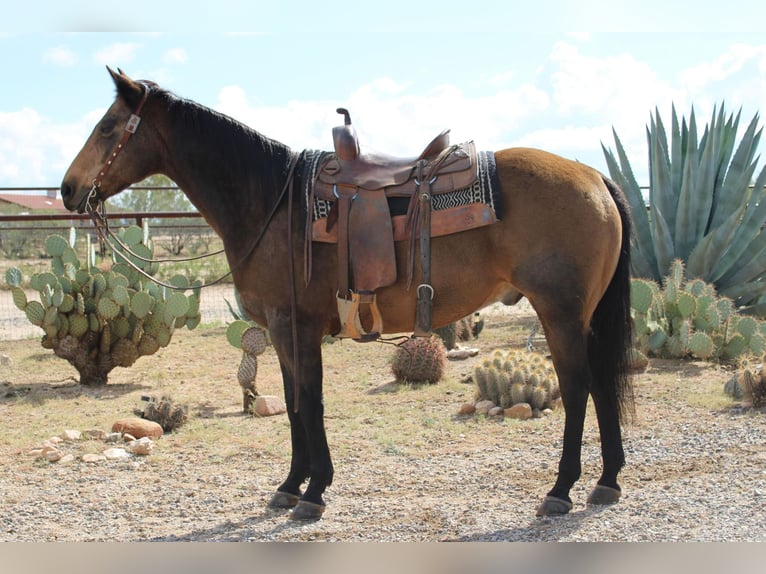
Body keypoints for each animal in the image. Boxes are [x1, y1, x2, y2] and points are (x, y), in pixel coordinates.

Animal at [60, 67, 636, 520]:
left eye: (107, 126)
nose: (67, 189)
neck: (271, 202)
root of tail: (596, 177)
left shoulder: (295, 326)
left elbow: (308, 403)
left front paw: (313, 491)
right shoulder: (282, 332)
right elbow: (293, 402)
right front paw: (291, 487)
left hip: (560, 315)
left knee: (579, 389)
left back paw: (561, 490)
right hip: (581, 318)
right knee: (602, 384)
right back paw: (607, 483)